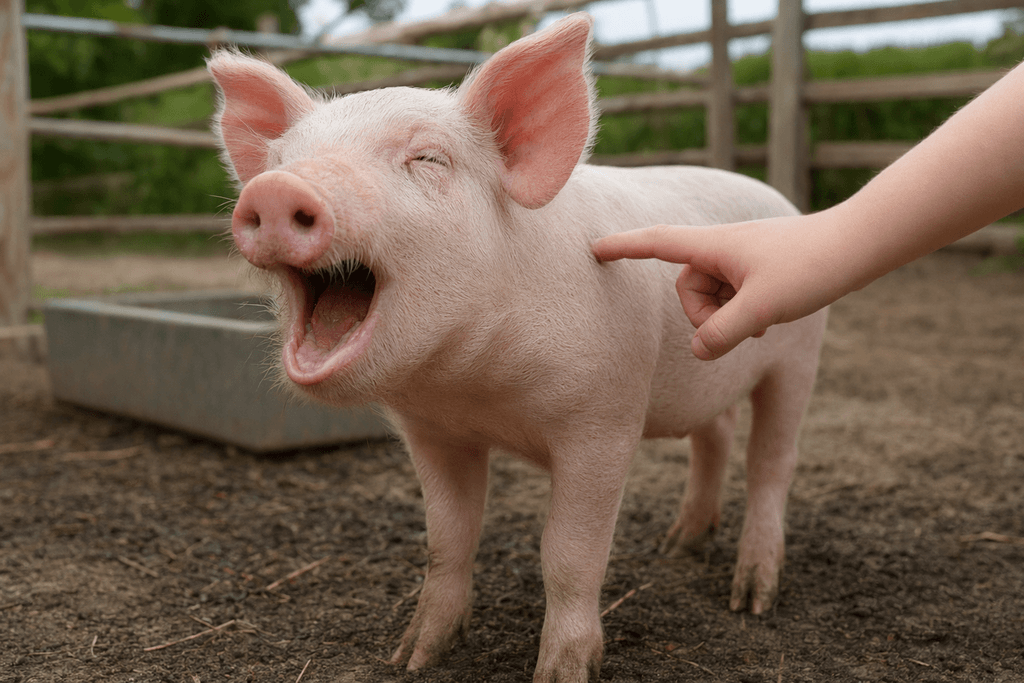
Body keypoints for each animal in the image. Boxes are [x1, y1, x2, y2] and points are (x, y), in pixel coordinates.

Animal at [208, 13, 827, 683]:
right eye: (281, 159)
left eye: (428, 158)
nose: (274, 189)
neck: (477, 385)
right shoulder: (432, 431)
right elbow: (447, 538)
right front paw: (412, 657)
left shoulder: (604, 419)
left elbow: (568, 552)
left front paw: (561, 673)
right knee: (714, 434)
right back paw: (678, 545)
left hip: (799, 351)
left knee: (771, 462)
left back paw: (753, 598)